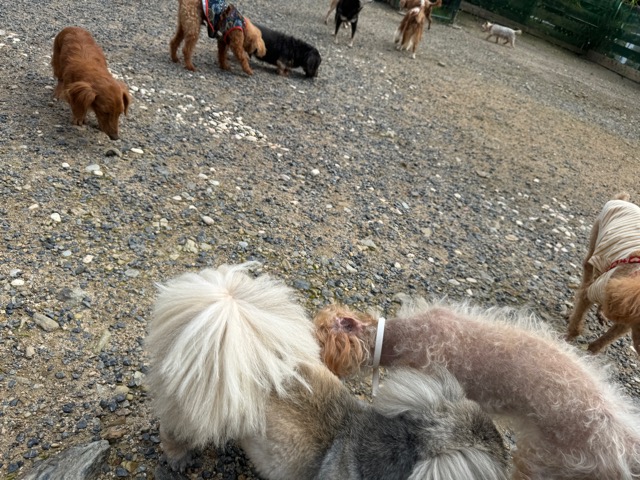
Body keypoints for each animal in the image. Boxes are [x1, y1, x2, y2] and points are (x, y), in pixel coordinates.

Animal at [566, 192, 640, 354]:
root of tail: (622, 200)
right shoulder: (594, 291)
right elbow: (578, 317)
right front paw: (565, 341)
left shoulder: (626, 322)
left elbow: (606, 339)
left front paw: (590, 353)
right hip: (596, 240)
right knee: (587, 272)